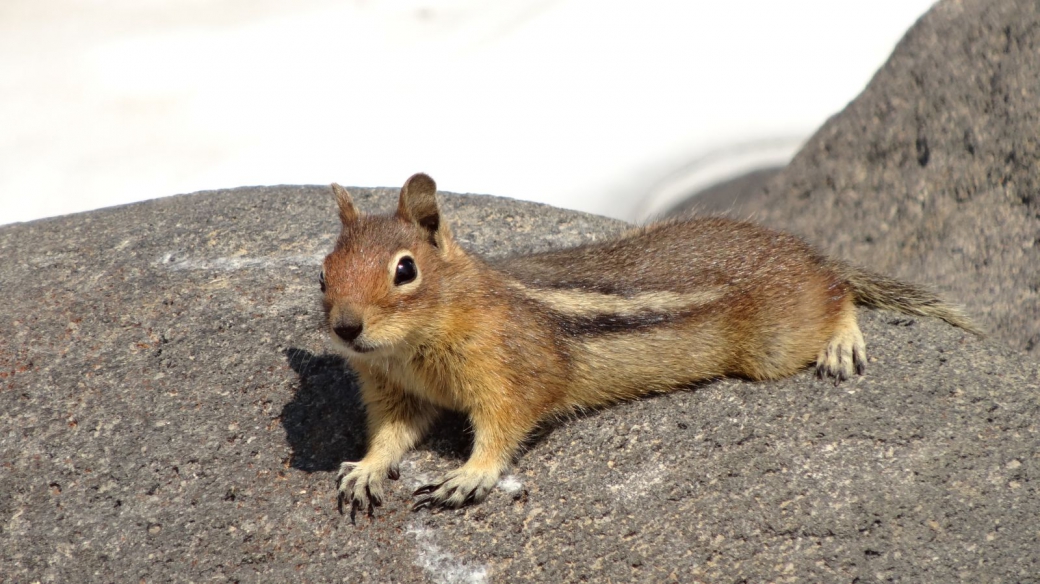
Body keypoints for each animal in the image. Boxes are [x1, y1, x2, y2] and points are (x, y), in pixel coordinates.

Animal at [318, 171, 981, 513]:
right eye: (322, 274)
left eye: (405, 271)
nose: (346, 328)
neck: (416, 349)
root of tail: (802, 249)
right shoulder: (397, 390)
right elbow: (395, 432)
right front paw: (367, 470)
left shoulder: (513, 366)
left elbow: (506, 424)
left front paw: (470, 474)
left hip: (776, 339)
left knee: (839, 294)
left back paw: (842, 342)